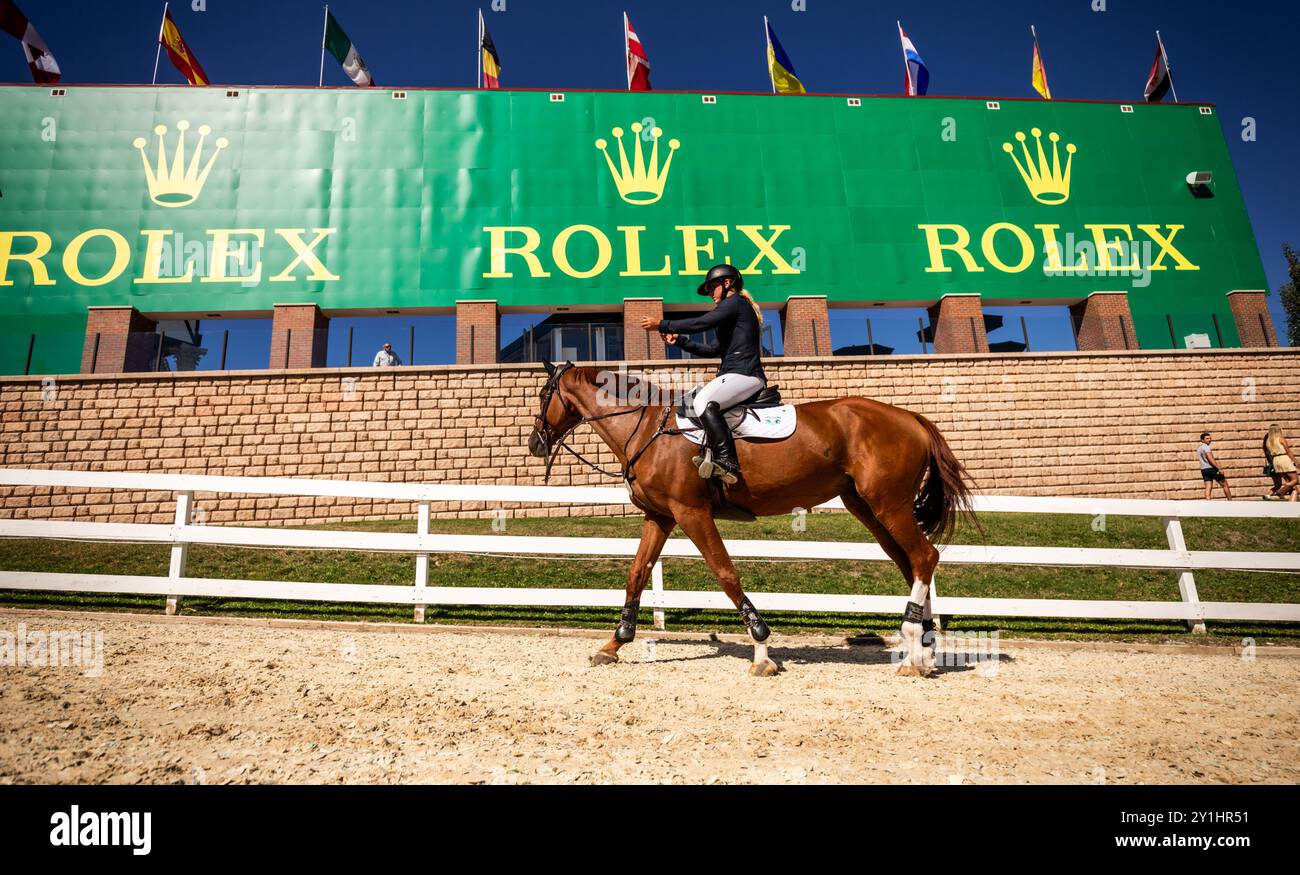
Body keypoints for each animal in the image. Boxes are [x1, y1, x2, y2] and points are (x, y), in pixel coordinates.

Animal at [527, 361, 977, 676]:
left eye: (543, 393)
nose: (534, 443)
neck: (647, 430)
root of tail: (910, 417)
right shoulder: (660, 516)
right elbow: (637, 573)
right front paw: (614, 643)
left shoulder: (691, 513)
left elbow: (725, 573)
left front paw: (761, 649)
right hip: (868, 508)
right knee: (910, 561)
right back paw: (923, 650)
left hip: (888, 505)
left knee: (924, 557)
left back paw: (914, 651)